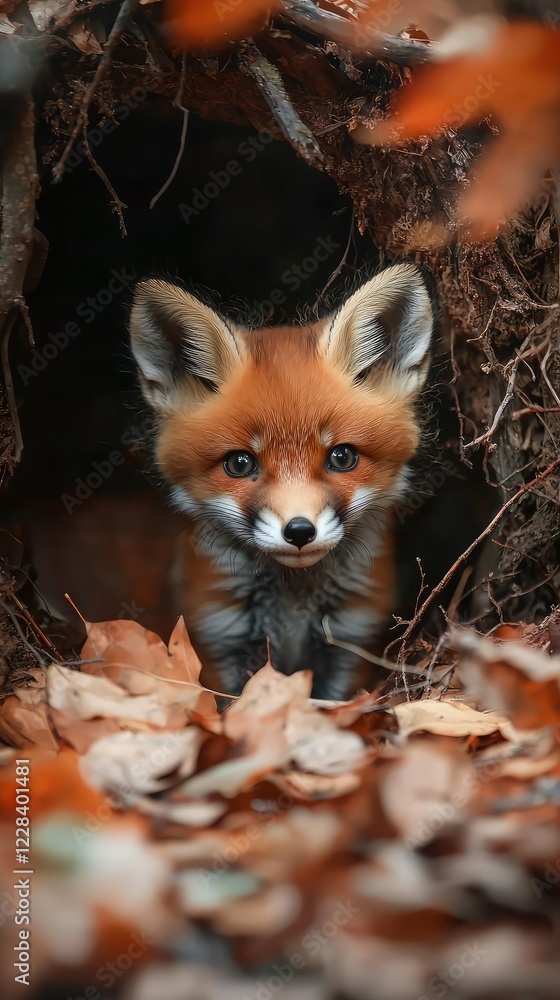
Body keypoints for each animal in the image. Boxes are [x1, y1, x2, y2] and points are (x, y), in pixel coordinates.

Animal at [129, 263, 434, 700]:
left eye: (342, 457)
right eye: (239, 464)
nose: (300, 531)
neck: (292, 604)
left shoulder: (350, 644)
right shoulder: (219, 640)